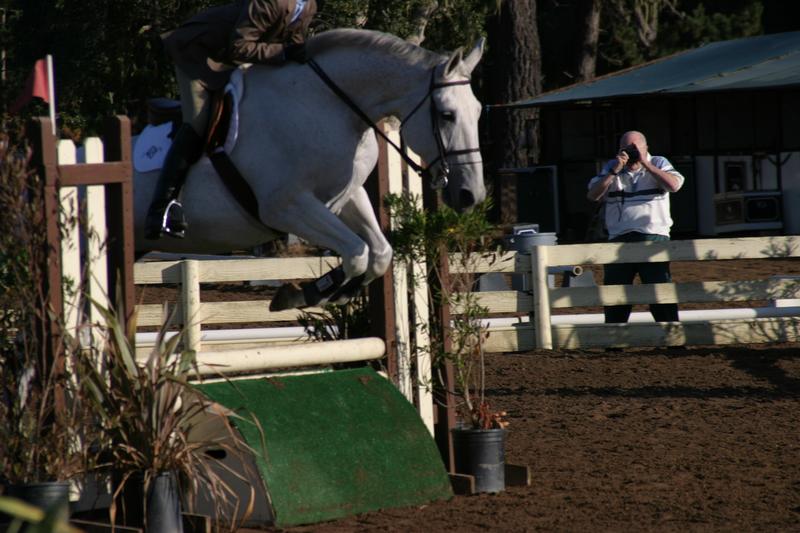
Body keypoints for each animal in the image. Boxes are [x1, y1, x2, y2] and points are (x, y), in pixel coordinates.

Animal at [133, 28, 486, 310]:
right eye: (447, 115)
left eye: (479, 111)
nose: (472, 196)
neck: (330, 105)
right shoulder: (286, 207)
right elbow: (357, 252)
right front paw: (307, 294)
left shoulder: (347, 196)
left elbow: (379, 252)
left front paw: (332, 292)